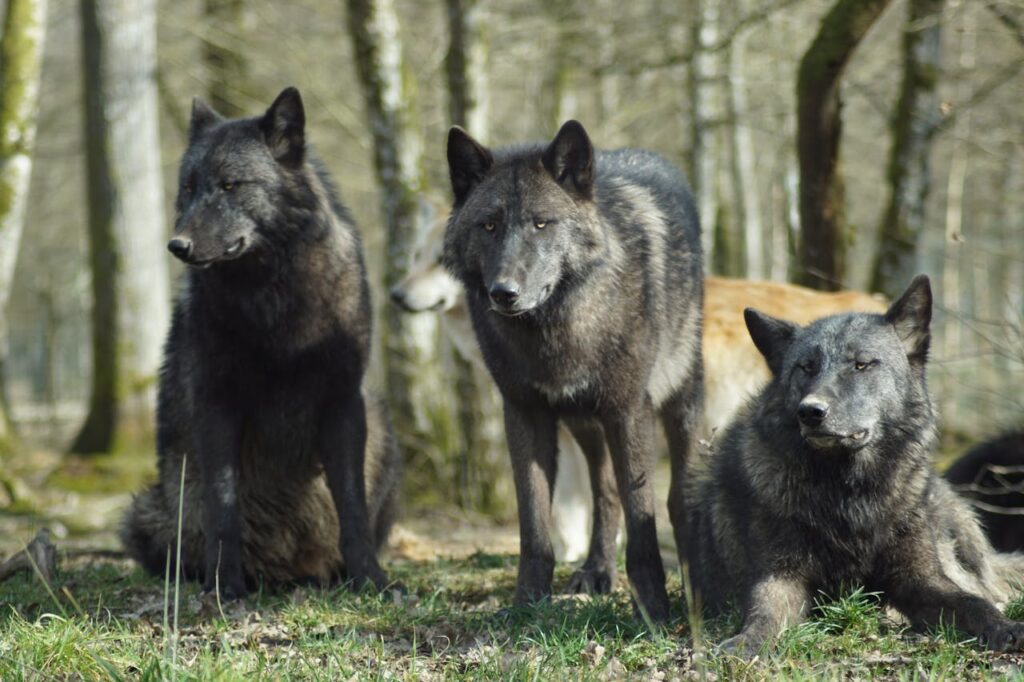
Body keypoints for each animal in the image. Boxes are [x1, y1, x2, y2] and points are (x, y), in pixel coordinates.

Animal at [120, 88, 401, 598]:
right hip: (146, 513)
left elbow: (352, 508)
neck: (273, 296)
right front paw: (225, 585)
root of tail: (286, 572)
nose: (177, 246)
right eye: (188, 188)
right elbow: (223, 507)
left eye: (231, 185)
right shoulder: (217, 405)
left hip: (382, 426)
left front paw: (371, 579)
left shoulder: (343, 403)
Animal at [443, 120, 703, 621]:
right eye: (489, 225)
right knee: (604, 491)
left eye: (541, 223)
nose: (503, 292)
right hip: (584, 423)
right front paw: (526, 604)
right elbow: (534, 523)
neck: (555, 330)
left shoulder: (628, 411)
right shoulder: (524, 414)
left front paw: (653, 609)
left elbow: (643, 517)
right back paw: (597, 570)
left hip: (679, 403)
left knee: (677, 494)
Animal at [685, 275, 1024, 654]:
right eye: (806, 367)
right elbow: (765, 611)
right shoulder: (780, 576)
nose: (810, 411)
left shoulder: (921, 578)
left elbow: (971, 602)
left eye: (861, 364)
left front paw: (1005, 626)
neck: (848, 493)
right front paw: (746, 642)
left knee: (986, 585)